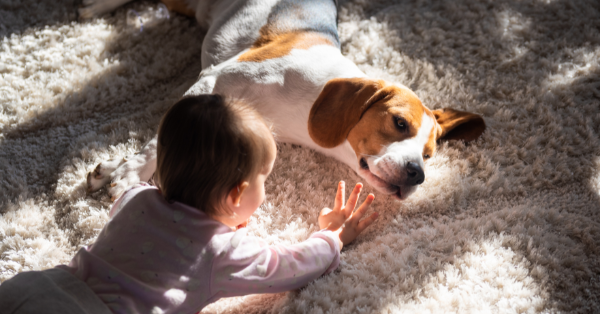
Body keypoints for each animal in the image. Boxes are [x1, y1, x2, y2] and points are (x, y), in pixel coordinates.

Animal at [85, 0, 488, 201]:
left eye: (429, 155)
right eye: (399, 123)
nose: (417, 174)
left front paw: (114, 169)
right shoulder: (211, 81)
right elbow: (157, 144)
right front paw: (129, 175)